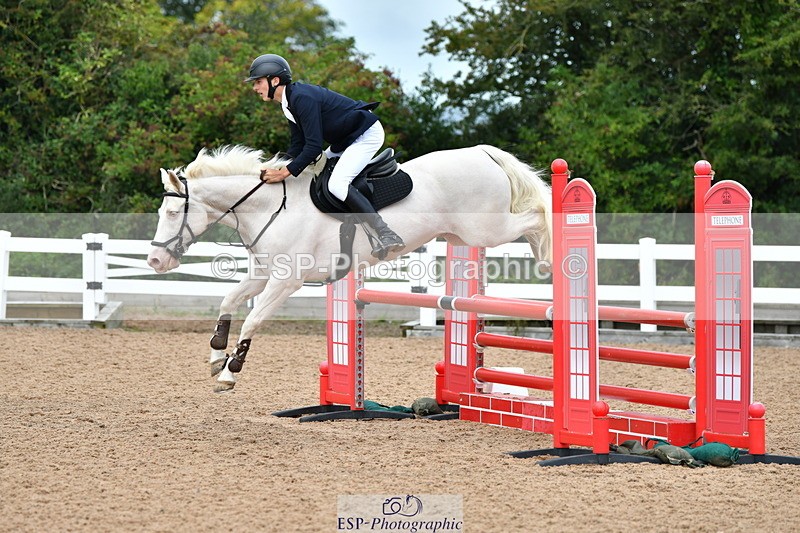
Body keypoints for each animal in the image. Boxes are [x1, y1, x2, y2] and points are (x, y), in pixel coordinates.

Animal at [147, 144, 552, 392]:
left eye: (172, 212)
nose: (155, 261)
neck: (269, 208)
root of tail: (482, 153)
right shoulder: (263, 274)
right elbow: (228, 301)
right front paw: (217, 355)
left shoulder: (285, 281)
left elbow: (253, 320)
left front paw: (231, 372)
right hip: (464, 234)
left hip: (487, 228)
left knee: (537, 214)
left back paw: (549, 258)